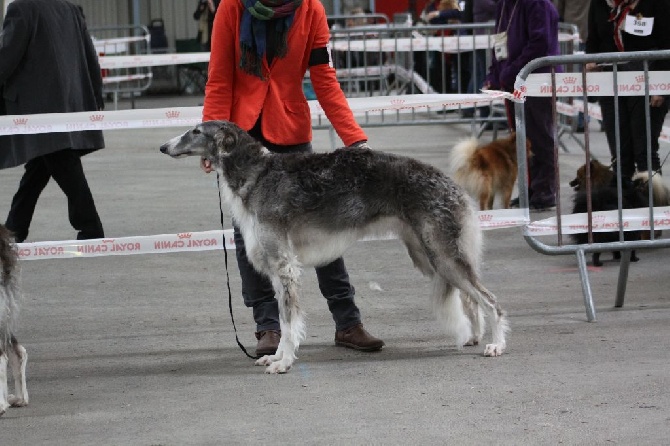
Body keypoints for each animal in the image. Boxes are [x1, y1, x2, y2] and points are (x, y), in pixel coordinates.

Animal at [161, 121, 510, 372]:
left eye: (196, 131)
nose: (164, 146)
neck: (257, 174)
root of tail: (453, 186)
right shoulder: (275, 267)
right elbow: (282, 320)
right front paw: (276, 356)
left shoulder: (284, 265)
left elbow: (289, 322)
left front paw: (284, 362)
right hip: (430, 255)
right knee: (469, 296)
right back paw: (475, 336)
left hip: (441, 253)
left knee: (491, 300)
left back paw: (496, 345)